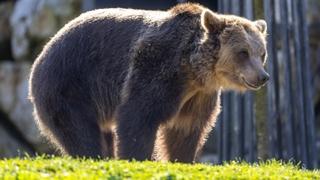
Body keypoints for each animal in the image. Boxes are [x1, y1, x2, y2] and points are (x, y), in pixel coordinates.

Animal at [28, 2, 268, 163]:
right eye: (243, 52)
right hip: (69, 85)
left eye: (262, 53)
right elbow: (138, 116)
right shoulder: (158, 67)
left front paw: (182, 158)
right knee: (80, 132)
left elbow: (185, 129)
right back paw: (94, 156)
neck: (193, 70)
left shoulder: (199, 95)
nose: (263, 76)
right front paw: (135, 156)